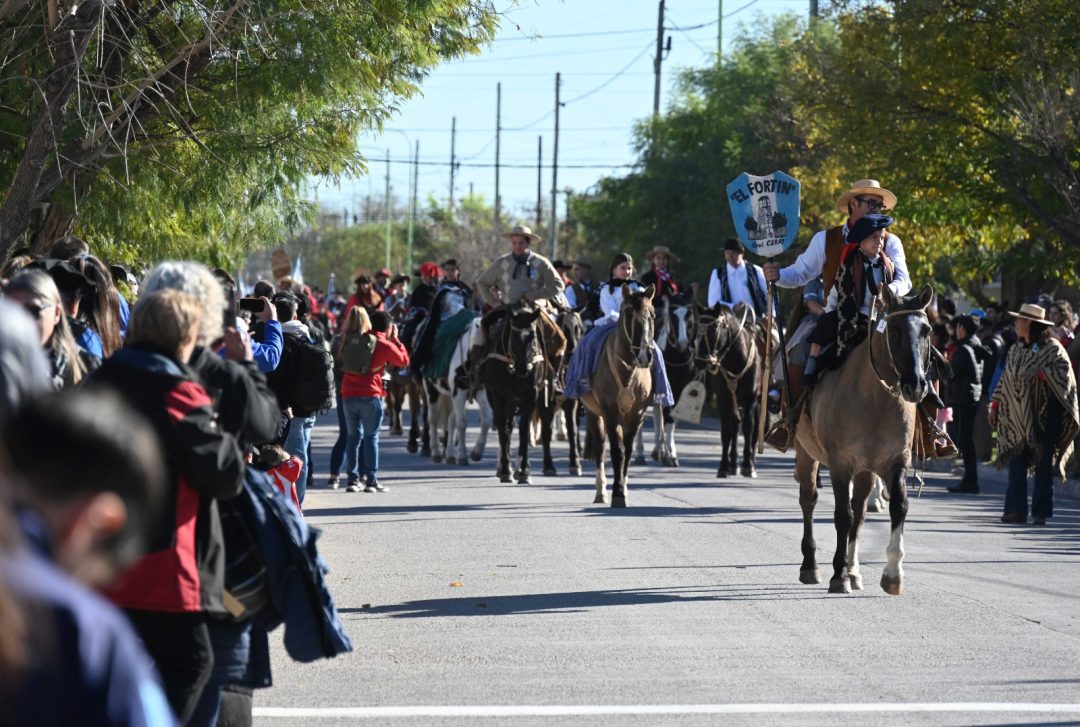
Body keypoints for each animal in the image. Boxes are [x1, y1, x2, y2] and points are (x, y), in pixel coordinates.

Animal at [483, 304, 548, 481]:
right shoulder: (498, 396)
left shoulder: (532, 396)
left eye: (532, 337)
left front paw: (524, 470)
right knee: (506, 426)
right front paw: (505, 469)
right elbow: (502, 430)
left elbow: (524, 430)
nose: (523, 369)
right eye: (513, 337)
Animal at [583, 280, 656, 507]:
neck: (628, 369)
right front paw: (616, 493)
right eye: (629, 313)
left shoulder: (636, 414)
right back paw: (600, 492)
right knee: (600, 449)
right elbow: (617, 451)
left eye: (652, 315)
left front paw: (623, 489)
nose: (645, 355)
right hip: (593, 413)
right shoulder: (610, 413)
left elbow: (628, 450)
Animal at [695, 302, 764, 479]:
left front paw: (748, 465)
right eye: (697, 328)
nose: (700, 361)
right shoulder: (723, 398)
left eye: (714, 329)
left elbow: (749, 427)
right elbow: (727, 430)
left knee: (754, 427)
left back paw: (752, 462)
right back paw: (733, 464)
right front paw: (724, 466)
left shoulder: (751, 397)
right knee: (735, 423)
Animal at [790, 283, 933, 596]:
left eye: (926, 330)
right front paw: (838, 575)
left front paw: (892, 574)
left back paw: (854, 571)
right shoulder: (840, 465)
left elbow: (897, 507)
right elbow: (841, 515)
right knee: (809, 501)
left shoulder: (896, 461)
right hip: (806, 452)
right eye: (894, 331)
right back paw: (811, 566)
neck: (873, 398)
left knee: (859, 510)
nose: (916, 386)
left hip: (867, 469)